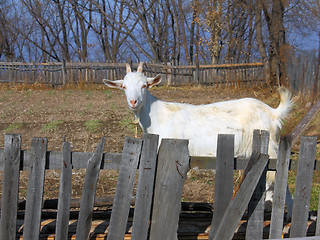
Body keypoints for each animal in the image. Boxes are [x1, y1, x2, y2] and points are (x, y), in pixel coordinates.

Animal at [104, 62, 292, 217]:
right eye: (124, 87)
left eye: (144, 85)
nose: (133, 102)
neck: (157, 115)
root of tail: (273, 113)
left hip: (268, 147)